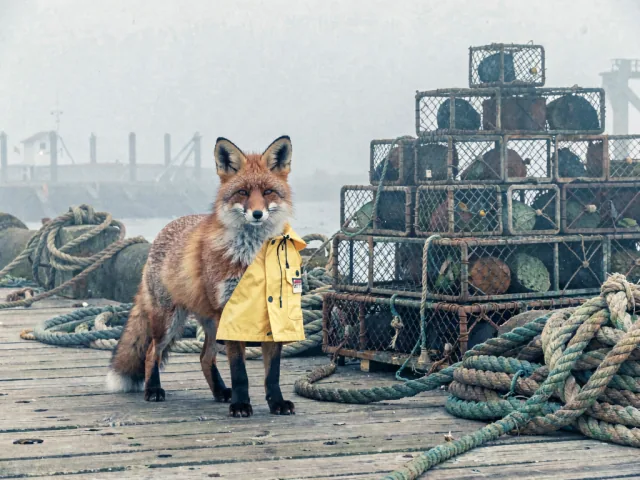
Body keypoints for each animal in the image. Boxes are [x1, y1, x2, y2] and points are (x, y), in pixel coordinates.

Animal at [106, 135, 298, 418]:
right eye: (242, 192)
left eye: (267, 192)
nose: (257, 214)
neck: (250, 258)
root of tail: (165, 229)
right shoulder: (231, 314)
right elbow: (240, 372)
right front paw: (241, 405)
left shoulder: (272, 314)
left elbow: (272, 373)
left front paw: (276, 402)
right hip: (170, 321)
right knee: (152, 351)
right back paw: (153, 390)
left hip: (212, 324)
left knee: (204, 357)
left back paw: (220, 392)